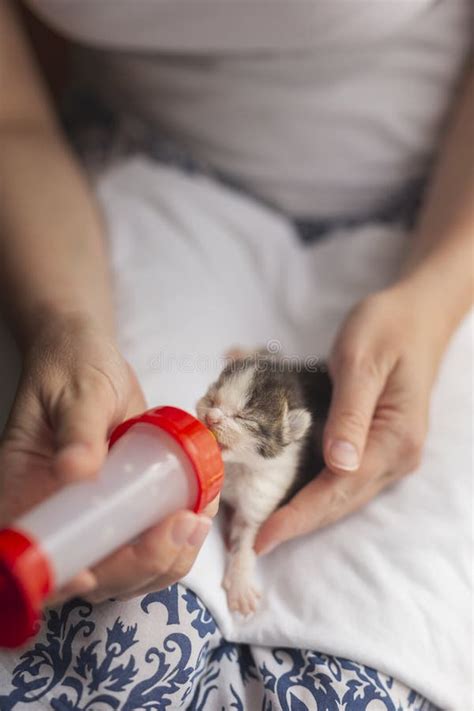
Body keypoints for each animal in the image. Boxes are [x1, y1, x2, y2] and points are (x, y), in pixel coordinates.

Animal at [194, 350, 332, 616]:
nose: (211, 417)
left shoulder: (264, 494)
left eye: (243, 417)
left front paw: (240, 585)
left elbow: (246, 539)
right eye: (213, 400)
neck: (239, 467)